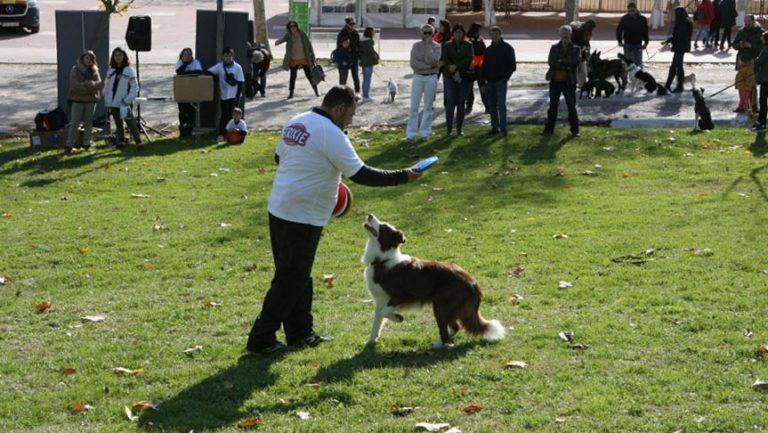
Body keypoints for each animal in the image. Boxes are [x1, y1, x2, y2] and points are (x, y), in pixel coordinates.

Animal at [364, 214, 508, 350]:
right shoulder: (380, 300)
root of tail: (474, 284)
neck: (382, 260)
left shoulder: (403, 295)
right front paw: (370, 342)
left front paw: (398, 318)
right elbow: (376, 322)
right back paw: (440, 342)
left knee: (447, 330)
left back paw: (439, 345)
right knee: (455, 327)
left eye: (383, 227)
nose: (370, 215)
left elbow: (384, 312)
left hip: (440, 304)